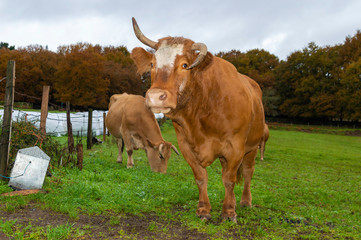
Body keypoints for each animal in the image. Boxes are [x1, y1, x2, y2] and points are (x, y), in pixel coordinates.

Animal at [129, 17, 264, 222]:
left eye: (185, 65)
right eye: (152, 64)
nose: (155, 97)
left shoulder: (235, 147)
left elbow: (229, 180)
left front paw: (228, 212)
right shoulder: (186, 146)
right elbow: (201, 177)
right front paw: (203, 210)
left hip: (252, 147)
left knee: (248, 172)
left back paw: (245, 202)